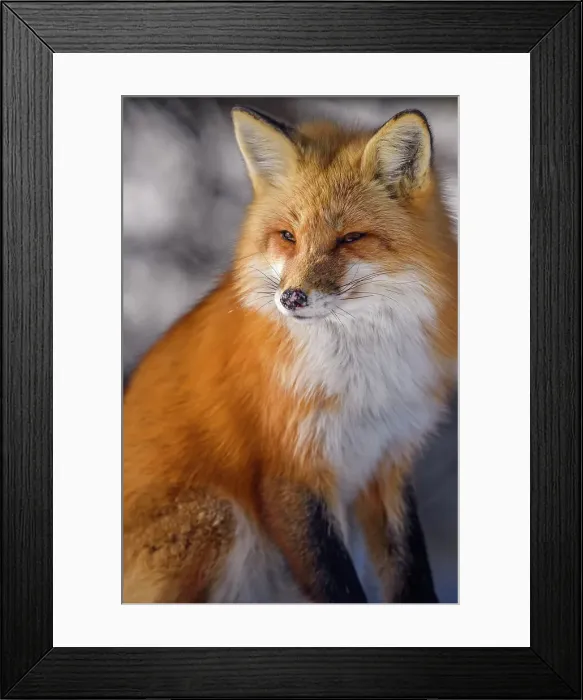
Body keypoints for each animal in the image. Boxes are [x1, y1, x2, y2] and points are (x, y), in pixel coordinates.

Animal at [123, 105, 457, 604]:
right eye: (287, 236)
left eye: (350, 238)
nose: (292, 298)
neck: (360, 384)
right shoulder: (289, 468)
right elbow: (337, 586)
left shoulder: (388, 461)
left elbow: (411, 578)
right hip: (218, 516)